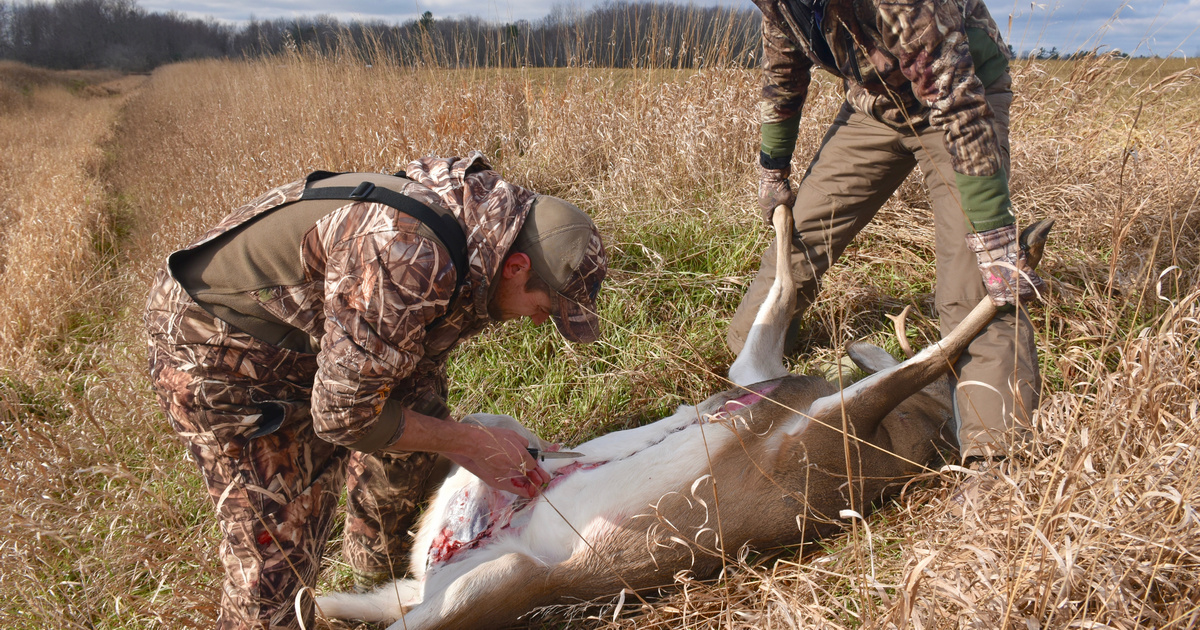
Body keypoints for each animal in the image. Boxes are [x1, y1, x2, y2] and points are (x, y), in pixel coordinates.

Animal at [315, 206, 1054, 630]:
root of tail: (437, 567)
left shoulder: (820, 438)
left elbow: (933, 355)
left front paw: (1013, 270)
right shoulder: (772, 390)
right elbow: (795, 298)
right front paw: (783, 206)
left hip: (481, 585)